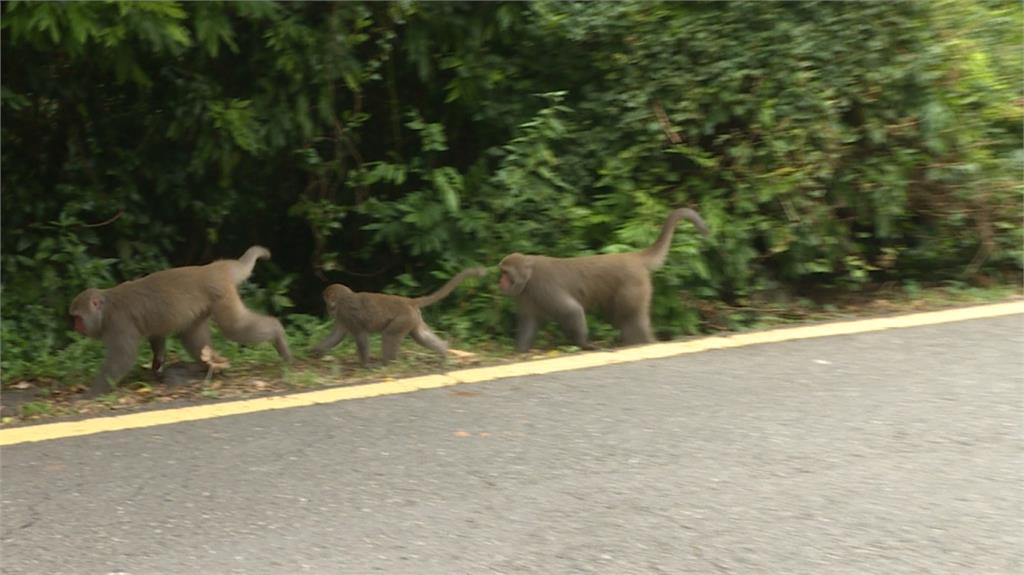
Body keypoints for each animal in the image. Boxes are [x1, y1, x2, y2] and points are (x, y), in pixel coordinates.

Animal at [68, 243, 292, 390]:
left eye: (78, 318)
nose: (75, 327)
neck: (105, 310)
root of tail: (214, 268)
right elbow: (157, 336)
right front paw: (157, 363)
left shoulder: (119, 323)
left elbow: (122, 358)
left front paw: (92, 392)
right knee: (192, 336)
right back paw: (211, 365)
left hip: (221, 294)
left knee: (234, 328)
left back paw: (277, 335)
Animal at [311, 266, 487, 364]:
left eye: (326, 302)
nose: (328, 310)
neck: (342, 300)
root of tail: (409, 301)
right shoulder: (342, 317)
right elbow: (337, 335)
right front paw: (317, 351)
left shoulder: (346, 313)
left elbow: (361, 336)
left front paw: (365, 365)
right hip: (413, 318)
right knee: (420, 335)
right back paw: (443, 351)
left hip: (404, 318)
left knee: (389, 335)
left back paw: (387, 363)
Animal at [497, 205, 708, 349]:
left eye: (506, 273)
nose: (501, 282)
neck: (528, 278)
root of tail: (633, 257)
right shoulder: (525, 295)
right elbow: (529, 323)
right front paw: (520, 352)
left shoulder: (543, 287)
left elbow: (571, 311)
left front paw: (584, 345)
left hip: (634, 287)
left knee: (629, 317)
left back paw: (641, 343)